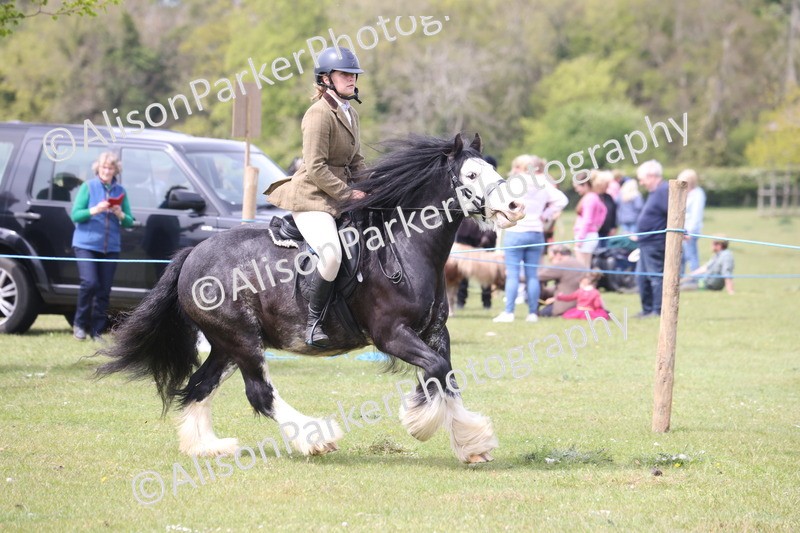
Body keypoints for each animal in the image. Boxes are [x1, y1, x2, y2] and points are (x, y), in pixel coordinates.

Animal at [96, 133, 525, 464]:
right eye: (471, 174)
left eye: (492, 170)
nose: (515, 207)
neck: (403, 246)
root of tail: (191, 254)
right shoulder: (393, 335)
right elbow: (436, 370)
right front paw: (421, 422)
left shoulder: (434, 332)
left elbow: (444, 375)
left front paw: (471, 443)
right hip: (242, 341)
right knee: (260, 393)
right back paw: (316, 438)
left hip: (225, 345)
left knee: (200, 385)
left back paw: (208, 448)